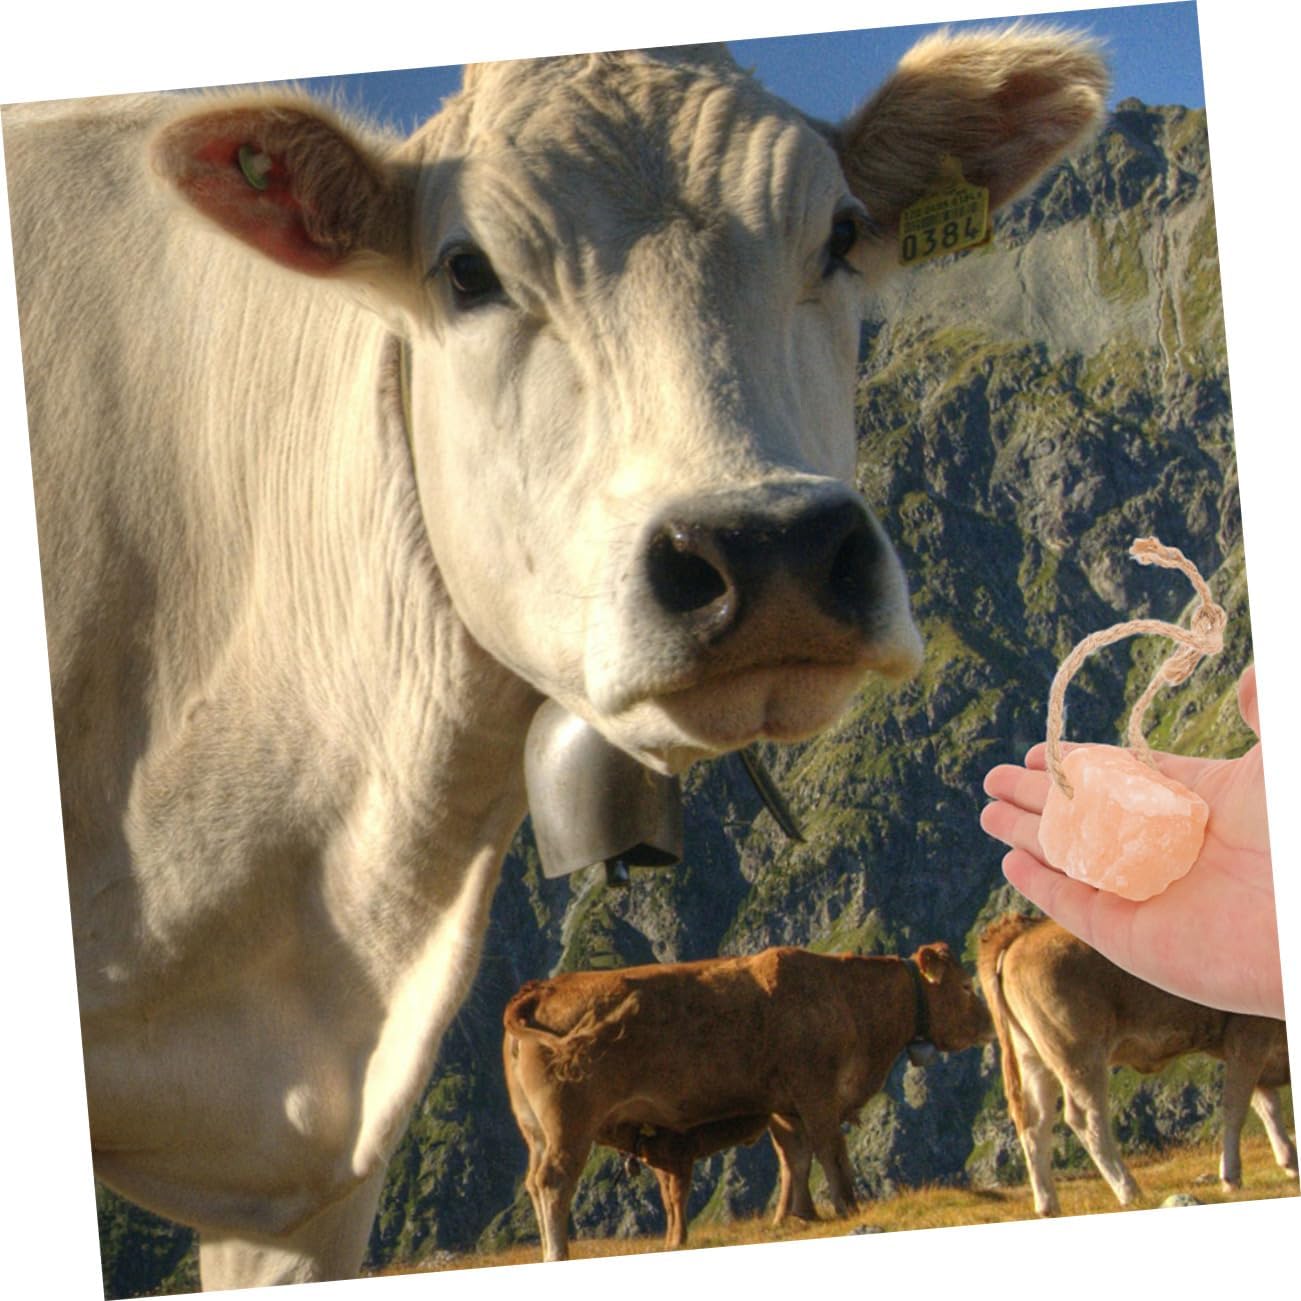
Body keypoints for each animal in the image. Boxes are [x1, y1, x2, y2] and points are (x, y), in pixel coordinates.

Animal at [501, 943, 994, 1259]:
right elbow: (831, 1152)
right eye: (967, 987)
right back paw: (557, 1252)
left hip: (536, 1131)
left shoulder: (785, 1106)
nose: (991, 1026)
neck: (845, 997)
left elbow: (795, 1158)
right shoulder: (816, 1093)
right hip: (570, 1123)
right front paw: (848, 1208)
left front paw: (800, 1215)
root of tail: (539, 990)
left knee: (533, 1182)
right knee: (554, 1182)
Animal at [978, 912, 1297, 1216]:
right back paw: (1128, 1190)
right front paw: (1231, 1177)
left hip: (1032, 1055)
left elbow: (1267, 1107)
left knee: (1035, 1123)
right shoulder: (1248, 1035)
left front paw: (1289, 1161)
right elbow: (1237, 1109)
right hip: (1077, 1051)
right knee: (1085, 1118)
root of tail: (1026, 930)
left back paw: (1048, 1204)